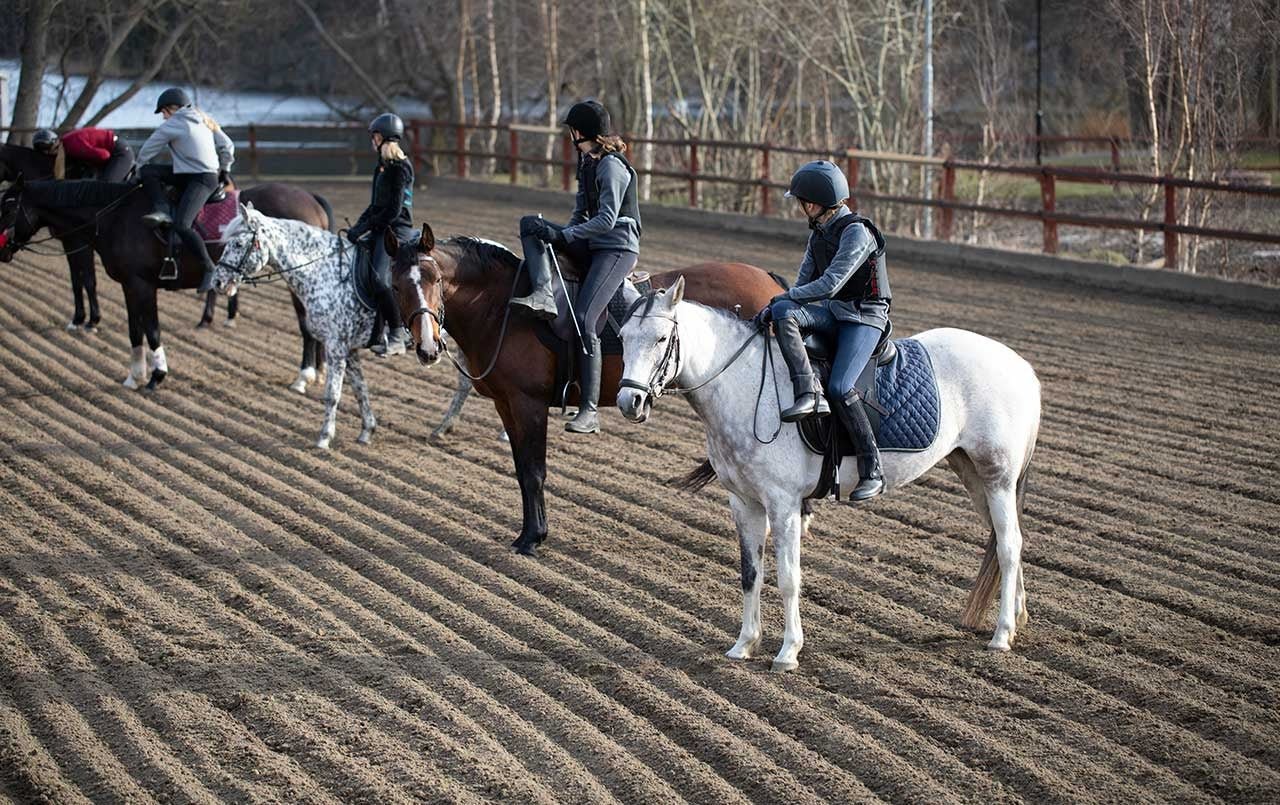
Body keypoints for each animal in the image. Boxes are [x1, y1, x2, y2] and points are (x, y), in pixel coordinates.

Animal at [0, 144, 242, 331]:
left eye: (9, 209)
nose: (2, 250)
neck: (112, 213)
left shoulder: (80, 244)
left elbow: (87, 280)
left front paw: (89, 321)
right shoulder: (72, 243)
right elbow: (77, 280)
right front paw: (79, 319)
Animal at [0, 176, 330, 392]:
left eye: (8, 207)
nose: (2, 249)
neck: (117, 216)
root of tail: (311, 198)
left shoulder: (143, 285)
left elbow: (153, 329)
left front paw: (156, 376)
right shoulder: (129, 285)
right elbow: (135, 330)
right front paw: (134, 376)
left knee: (306, 326)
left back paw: (304, 377)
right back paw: (319, 372)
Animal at [213, 206, 444, 449]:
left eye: (238, 244)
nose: (217, 282)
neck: (324, 273)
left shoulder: (336, 347)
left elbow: (332, 394)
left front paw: (324, 438)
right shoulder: (349, 350)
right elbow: (360, 390)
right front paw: (367, 431)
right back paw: (441, 430)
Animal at [392, 223, 793, 556]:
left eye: (434, 279)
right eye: (396, 285)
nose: (426, 346)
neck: (504, 307)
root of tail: (771, 282)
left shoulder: (528, 404)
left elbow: (534, 472)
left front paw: (533, 539)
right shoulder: (506, 405)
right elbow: (522, 470)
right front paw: (526, 534)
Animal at [614, 278, 1041, 671]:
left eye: (661, 338)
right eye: (622, 336)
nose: (628, 401)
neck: (746, 385)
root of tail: (1022, 367)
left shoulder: (783, 504)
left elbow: (788, 578)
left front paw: (788, 652)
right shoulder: (744, 502)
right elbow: (750, 573)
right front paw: (744, 645)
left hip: (997, 477)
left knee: (1008, 545)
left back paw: (1002, 634)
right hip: (973, 475)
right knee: (1006, 542)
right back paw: (1017, 619)